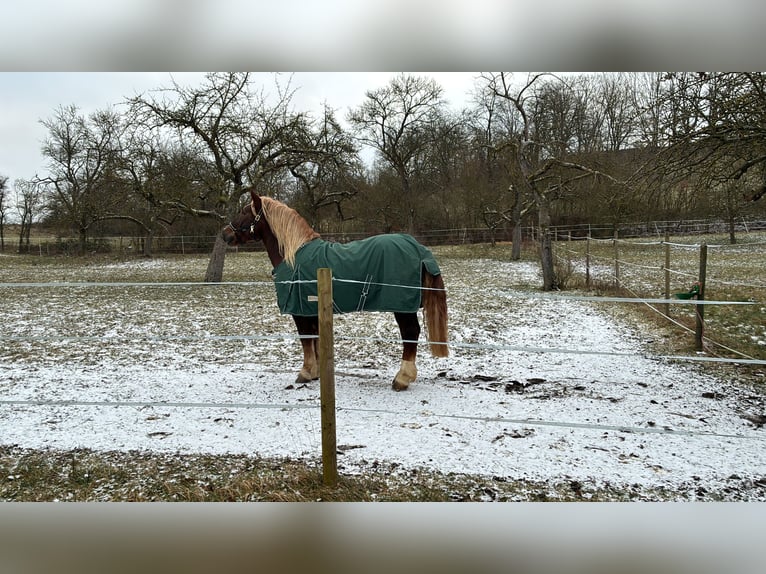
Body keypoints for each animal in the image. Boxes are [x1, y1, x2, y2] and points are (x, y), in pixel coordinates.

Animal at [221, 189, 448, 391]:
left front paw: (305, 372)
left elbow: (305, 340)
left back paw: (402, 378)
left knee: (410, 333)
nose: (225, 234)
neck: (293, 255)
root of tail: (418, 249)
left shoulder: (299, 311)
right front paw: (316, 373)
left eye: (244, 211)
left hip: (402, 307)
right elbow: (314, 340)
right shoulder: (311, 310)